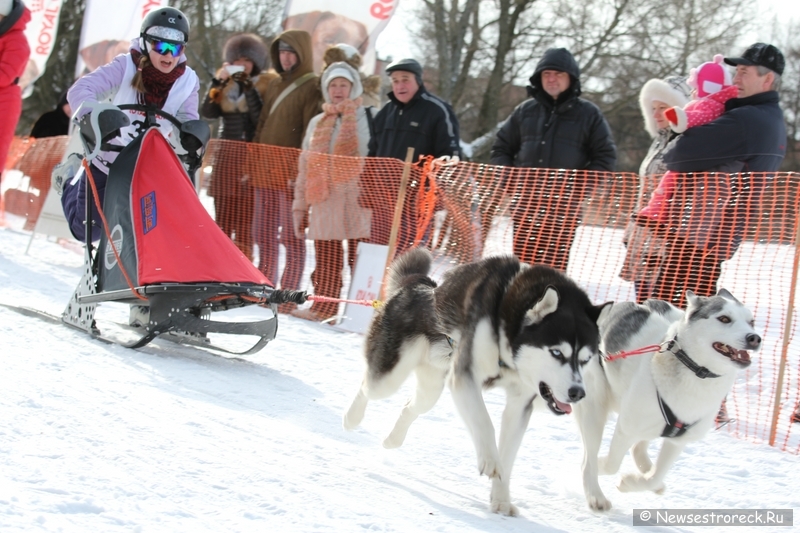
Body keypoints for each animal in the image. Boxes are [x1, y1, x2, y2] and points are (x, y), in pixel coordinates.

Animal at [344, 249, 612, 516]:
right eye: (557, 353)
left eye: (586, 359)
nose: (577, 393)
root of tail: (419, 284)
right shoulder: (465, 377)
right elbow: (484, 422)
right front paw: (490, 461)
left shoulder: (520, 404)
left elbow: (508, 456)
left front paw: (501, 499)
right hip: (389, 379)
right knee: (367, 387)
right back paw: (351, 418)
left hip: (430, 389)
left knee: (410, 407)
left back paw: (393, 439)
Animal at [576, 290, 764, 512]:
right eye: (724, 318)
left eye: (751, 321)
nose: (754, 338)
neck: (695, 370)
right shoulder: (626, 428)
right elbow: (610, 464)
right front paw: (605, 467)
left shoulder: (677, 441)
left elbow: (655, 477)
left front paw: (633, 482)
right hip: (594, 411)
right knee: (589, 461)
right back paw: (596, 496)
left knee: (638, 449)